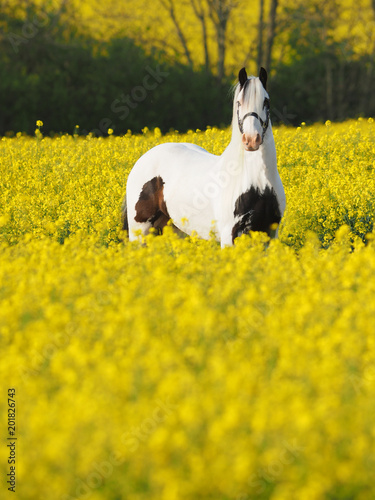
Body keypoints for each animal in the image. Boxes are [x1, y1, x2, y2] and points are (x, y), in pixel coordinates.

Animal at [122, 67, 286, 247]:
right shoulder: (229, 235)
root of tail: (143, 158)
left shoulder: (270, 232)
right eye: (239, 103)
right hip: (139, 231)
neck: (257, 181)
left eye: (266, 102)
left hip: (175, 229)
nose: (251, 140)